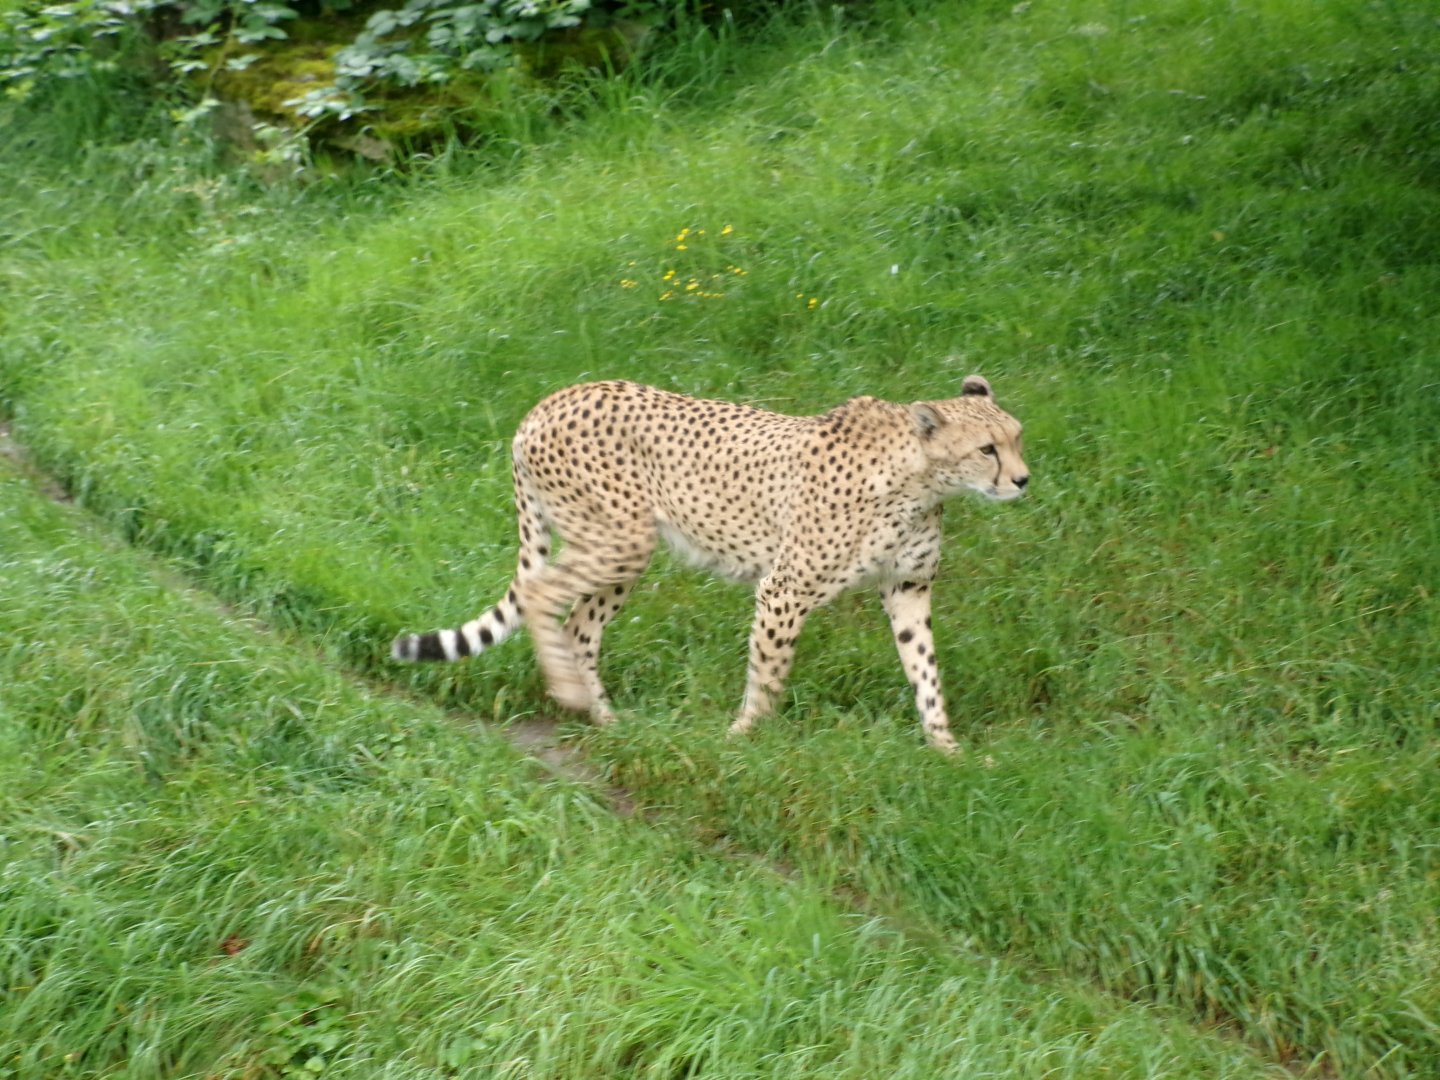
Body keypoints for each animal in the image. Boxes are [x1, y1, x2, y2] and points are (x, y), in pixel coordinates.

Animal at [391, 375, 1029, 752]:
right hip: (620, 539)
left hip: (619, 551)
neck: (918, 480)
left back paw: (602, 716)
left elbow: (925, 671)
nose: (1023, 480)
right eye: (986, 449)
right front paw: (744, 737)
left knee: (577, 625)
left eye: (1017, 437)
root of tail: (548, 403)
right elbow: (769, 673)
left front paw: (947, 750)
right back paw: (570, 693)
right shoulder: (784, 589)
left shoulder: (907, 588)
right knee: (542, 596)